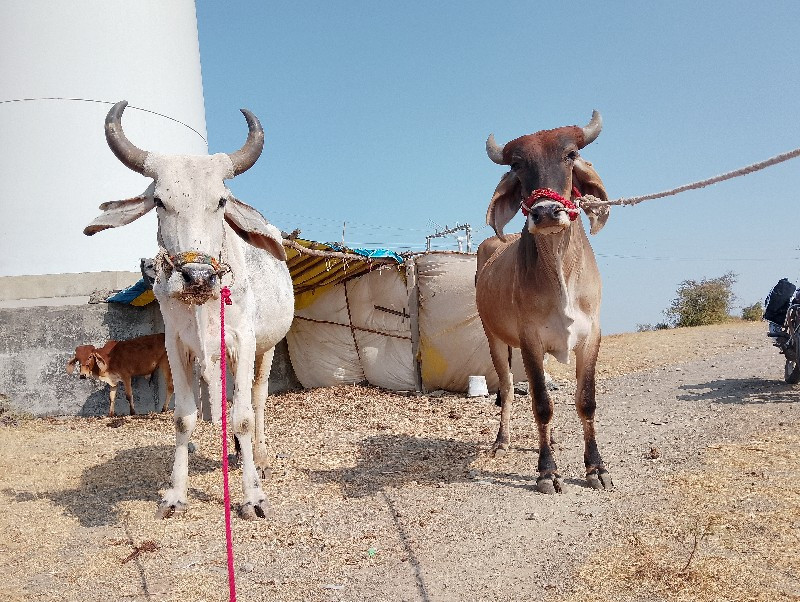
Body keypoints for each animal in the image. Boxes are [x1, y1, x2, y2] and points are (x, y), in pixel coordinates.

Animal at [83, 101, 294, 516]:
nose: (197, 277)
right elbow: (183, 418)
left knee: (258, 397)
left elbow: (243, 417)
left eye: (222, 201)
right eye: (159, 201)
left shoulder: (243, 341)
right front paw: (175, 494)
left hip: (266, 347)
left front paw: (253, 495)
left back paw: (259, 455)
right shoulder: (177, 346)